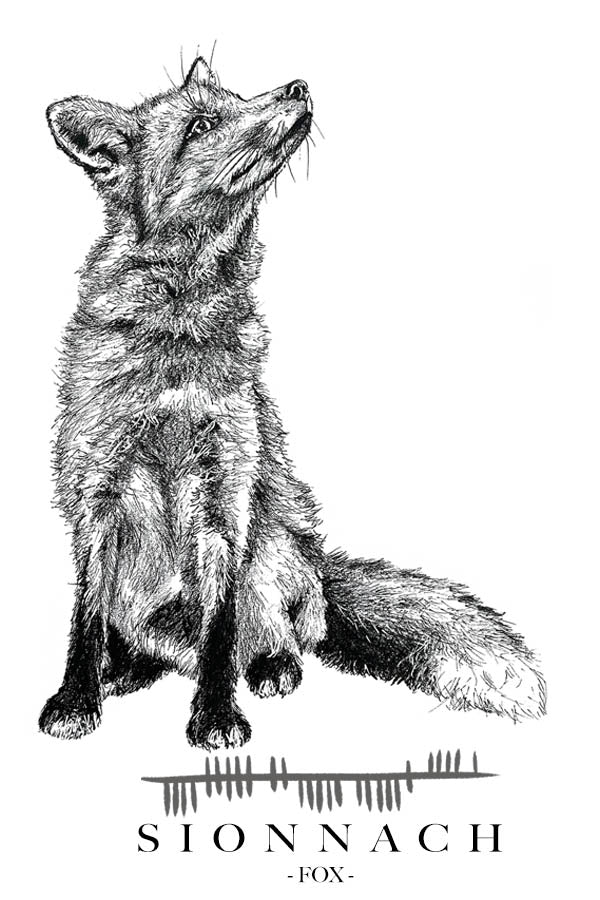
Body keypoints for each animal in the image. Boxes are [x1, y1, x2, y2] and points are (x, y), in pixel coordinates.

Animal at [39, 55, 546, 750]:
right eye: (201, 125)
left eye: (233, 95)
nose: (296, 87)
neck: (179, 334)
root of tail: (321, 568)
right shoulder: (96, 492)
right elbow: (84, 620)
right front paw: (75, 700)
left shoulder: (225, 497)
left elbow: (221, 628)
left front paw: (216, 717)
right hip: (144, 591)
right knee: (155, 646)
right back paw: (129, 670)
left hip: (275, 554)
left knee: (268, 636)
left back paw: (270, 667)